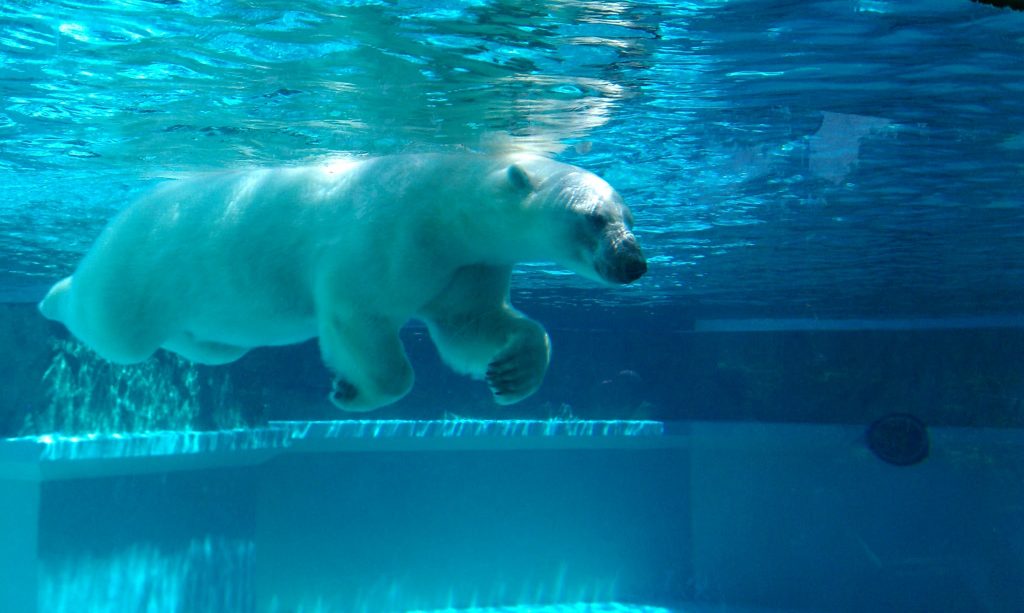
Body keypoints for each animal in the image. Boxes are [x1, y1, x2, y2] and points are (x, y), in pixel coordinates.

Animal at [38, 152, 646, 412]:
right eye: (594, 218)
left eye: (629, 216)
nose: (634, 263)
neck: (448, 206)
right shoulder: (391, 239)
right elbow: (362, 316)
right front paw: (353, 390)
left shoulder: (465, 267)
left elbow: (470, 326)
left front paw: (513, 373)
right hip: (136, 271)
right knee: (113, 327)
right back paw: (54, 298)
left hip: (205, 322)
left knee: (214, 345)